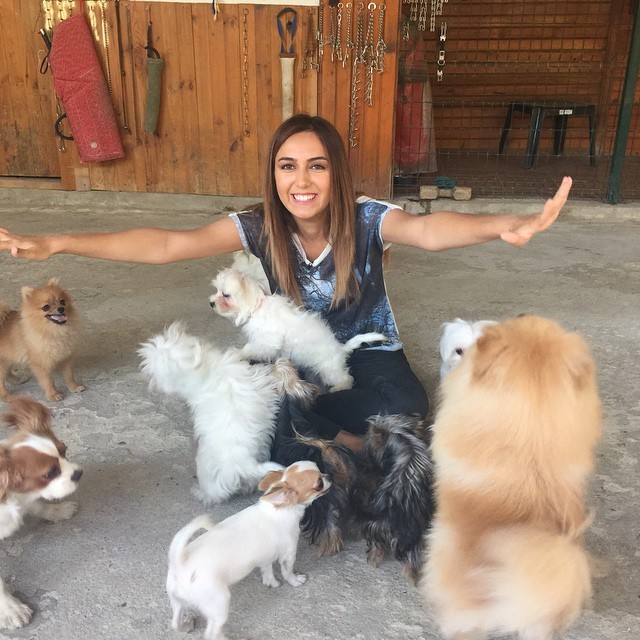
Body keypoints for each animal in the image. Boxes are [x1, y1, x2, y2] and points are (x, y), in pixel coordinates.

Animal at [0, 396, 83, 629]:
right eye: (50, 473)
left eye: (64, 450)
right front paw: (10, 609)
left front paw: (58, 510)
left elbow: (38, 505)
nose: (79, 473)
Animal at [166, 461, 330, 640]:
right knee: (211, 632)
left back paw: (185, 626)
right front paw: (295, 581)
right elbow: (288, 572)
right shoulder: (288, 554)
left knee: (175, 622)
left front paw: (272, 583)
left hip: (177, 601)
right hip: (219, 602)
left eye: (320, 468)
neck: (280, 510)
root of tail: (180, 562)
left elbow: (267, 571)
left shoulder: (265, 557)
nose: (329, 476)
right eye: (318, 484)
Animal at [209, 267, 387, 392]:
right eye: (216, 291)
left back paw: (339, 388)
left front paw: (238, 353)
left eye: (225, 295)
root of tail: (341, 348)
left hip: (329, 370)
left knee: (346, 379)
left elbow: (250, 348)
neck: (258, 308)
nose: (211, 303)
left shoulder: (266, 341)